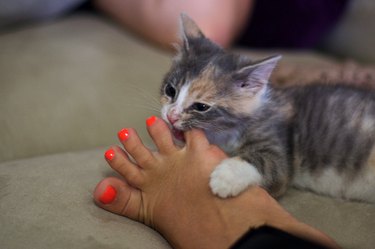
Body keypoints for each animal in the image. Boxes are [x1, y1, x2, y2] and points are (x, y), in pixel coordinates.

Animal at [160, 14, 375, 202]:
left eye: (201, 106)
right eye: (170, 90)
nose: (171, 116)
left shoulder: (279, 148)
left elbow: (267, 163)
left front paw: (225, 178)